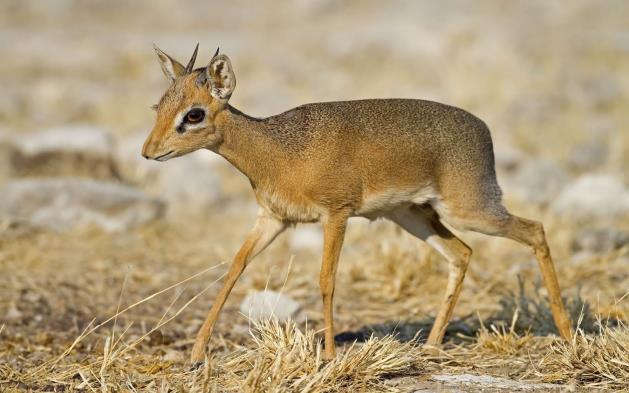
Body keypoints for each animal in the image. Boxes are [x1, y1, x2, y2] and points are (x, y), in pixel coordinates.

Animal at [142, 44, 576, 362]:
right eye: (158, 106)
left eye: (194, 114)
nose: (148, 152)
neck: (279, 151)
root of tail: (482, 128)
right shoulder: (273, 220)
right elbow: (233, 269)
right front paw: (196, 353)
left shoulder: (336, 214)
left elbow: (326, 280)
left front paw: (331, 356)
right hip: (412, 215)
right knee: (462, 253)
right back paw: (433, 345)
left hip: (471, 210)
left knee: (535, 230)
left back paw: (568, 334)